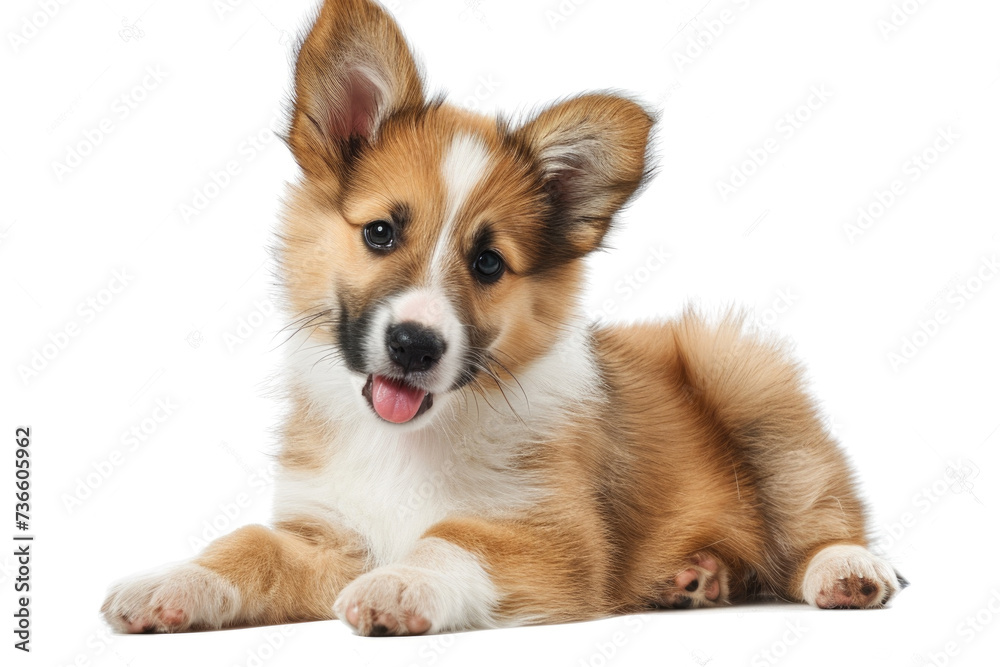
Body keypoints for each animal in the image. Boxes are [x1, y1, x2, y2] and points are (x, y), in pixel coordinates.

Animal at [101, 0, 908, 636]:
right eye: (380, 233)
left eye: (488, 263)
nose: (414, 345)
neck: (407, 443)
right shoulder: (328, 534)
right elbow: (248, 547)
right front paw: (173, 582)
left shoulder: (550, 535)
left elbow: (450, 539)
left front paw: (403, 584)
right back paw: (697, 577)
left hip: (747, 382)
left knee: (823, 513)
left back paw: (845, 570)